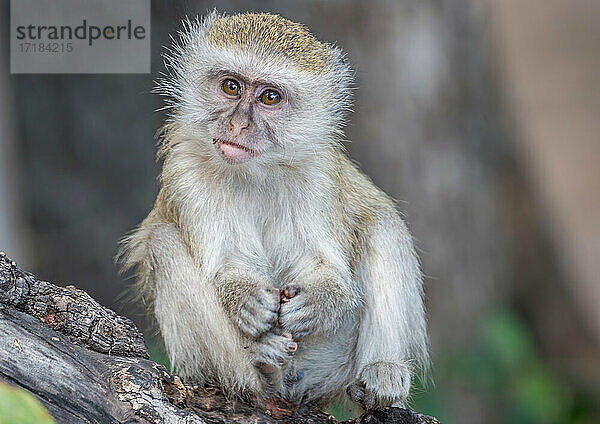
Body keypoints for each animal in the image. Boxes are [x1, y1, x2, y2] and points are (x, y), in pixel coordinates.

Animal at [119, 10, 426, 410]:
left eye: (269, 97)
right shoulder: (186, 174)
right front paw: (244, 297)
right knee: (163, 242)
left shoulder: (319, 176)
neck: (256, 172)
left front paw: (320, 301)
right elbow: (225, 263)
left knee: (381, 221)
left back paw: (383, 369)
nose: (237, 124)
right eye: (231, 87)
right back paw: (260, 366)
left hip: (330, 361)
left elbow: (326, 266)